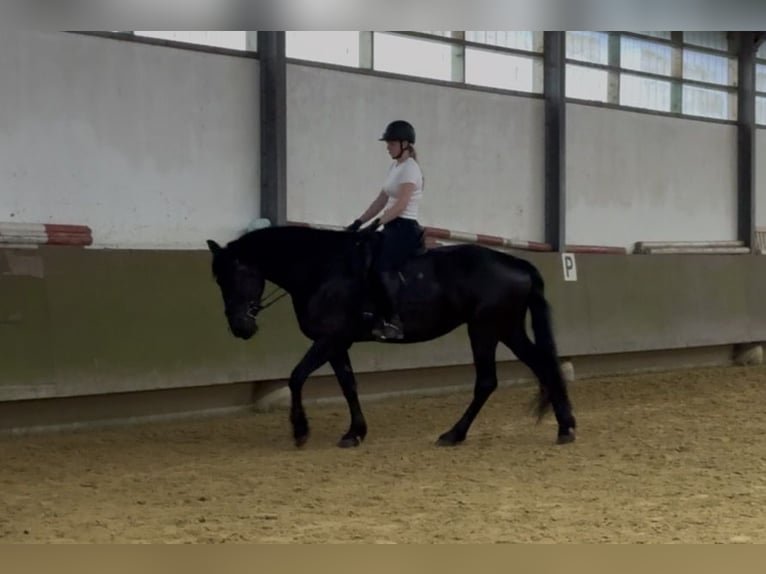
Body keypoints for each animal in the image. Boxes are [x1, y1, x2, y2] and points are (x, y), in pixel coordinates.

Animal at [205, 223, 576, 448]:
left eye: (234, 275)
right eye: (218, 281)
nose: (240, 328)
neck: (322, 269)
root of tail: (519, 264)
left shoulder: (328, 340)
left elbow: (297, 377)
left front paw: (300, 431)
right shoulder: (337, 343)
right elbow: (348, 384)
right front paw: (355, 433)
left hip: (484, 329)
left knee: (487, 381)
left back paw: (453, 434)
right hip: (507, 329)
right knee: (543, 365)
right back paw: (565, 427)